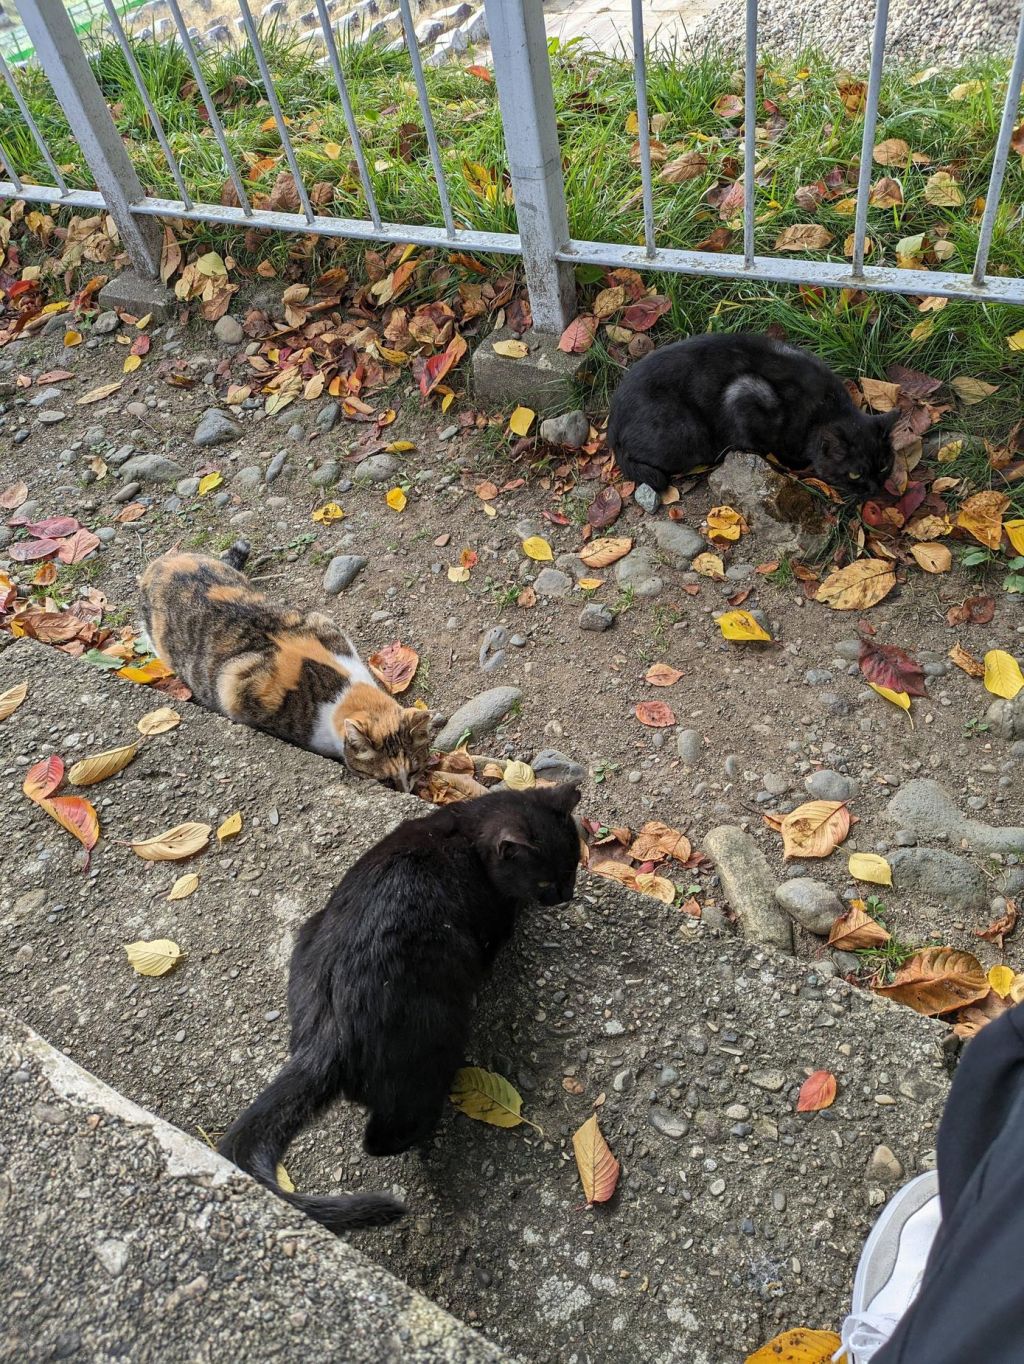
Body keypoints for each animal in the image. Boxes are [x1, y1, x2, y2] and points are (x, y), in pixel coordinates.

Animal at [139, 541, 430, 791]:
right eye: (384, 780)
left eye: (415, 769)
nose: (406, 791)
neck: (340, 689)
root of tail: (162, 562)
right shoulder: (240, 691)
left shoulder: (322, 623)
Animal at [218, 784, 583, 1232]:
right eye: (546, 879)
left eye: (574, 868)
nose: (566, 896)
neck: (467, 828)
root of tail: (328, 1033)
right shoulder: (491, 926)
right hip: (434, 1036)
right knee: (386, 1133)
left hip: (308, 933)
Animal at [608, 332, 898, 499]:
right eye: (855, 475)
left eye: (884, 465)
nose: (876, 488)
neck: (825, 409)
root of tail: (613, 422)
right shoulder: (745, 393)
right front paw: (790, 463)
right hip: (686, 432)